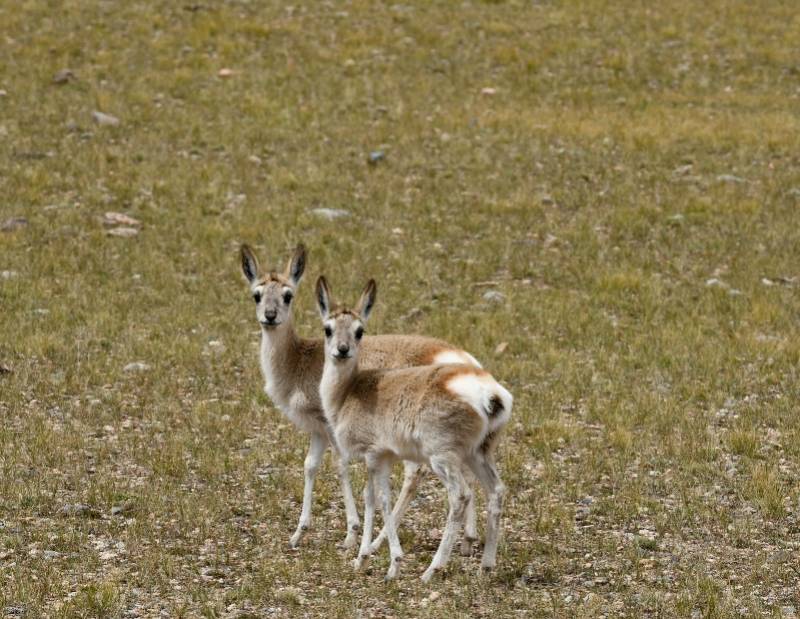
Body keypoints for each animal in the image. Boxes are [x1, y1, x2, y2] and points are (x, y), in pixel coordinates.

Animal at [314, 276, 512, 580]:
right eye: (328, 328)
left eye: (360, 331)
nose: (342, 350)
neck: (349, 391)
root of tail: (489, 393)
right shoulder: (383, 459)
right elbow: (375, 498)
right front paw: (366, 558)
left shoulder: (373, 455)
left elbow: (377, 499)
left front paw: (381, 561)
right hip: (477, 455)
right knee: (496, 491)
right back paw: (486, 566)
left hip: (442, 459)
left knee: (461, 496)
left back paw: (431, 570)